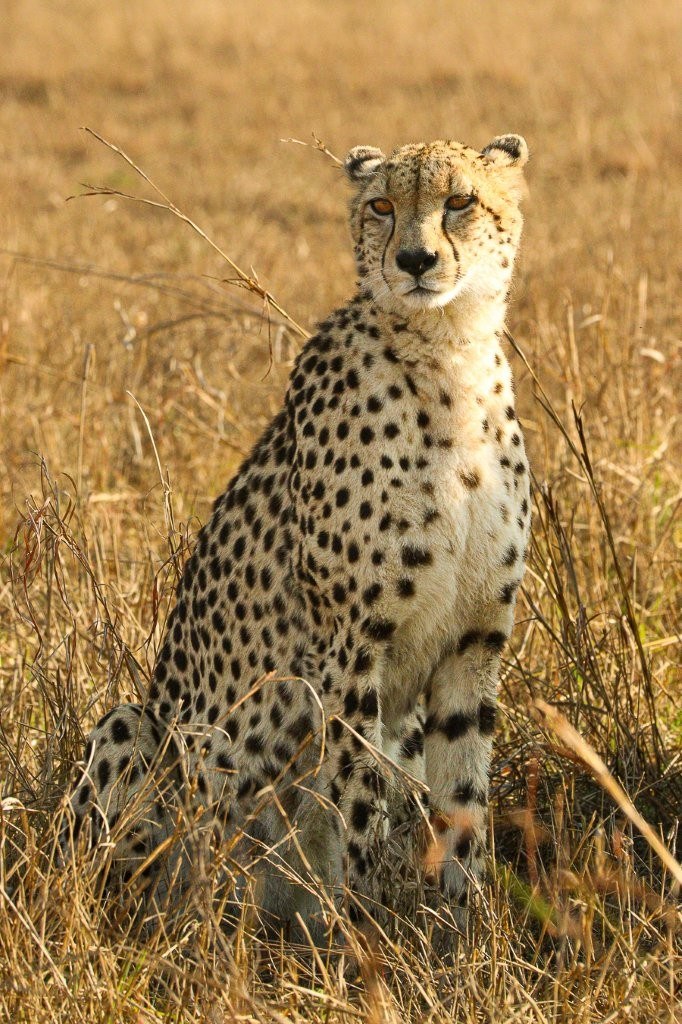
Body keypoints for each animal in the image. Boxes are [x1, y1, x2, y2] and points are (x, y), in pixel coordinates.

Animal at [60, 133, 531, 939]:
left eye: (460, 201)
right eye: (383, 205)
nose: (414, 260)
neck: (449, 353)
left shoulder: (473, 644)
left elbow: (464, 803)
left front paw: (464, 935)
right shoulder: (351, 647)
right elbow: (361, 797)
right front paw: (376, 933)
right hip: (141, 737)